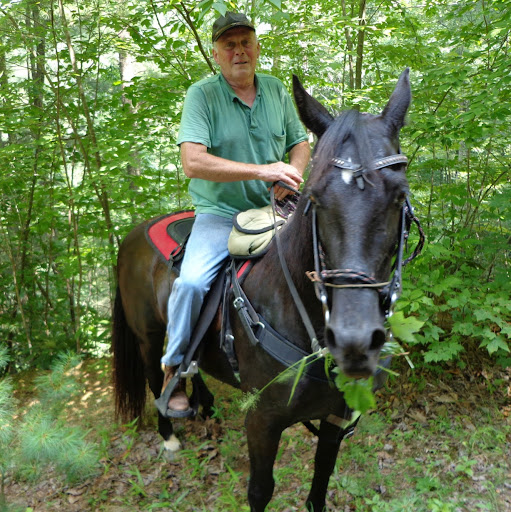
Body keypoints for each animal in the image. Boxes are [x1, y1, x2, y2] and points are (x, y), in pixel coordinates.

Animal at [112, 69, 412, 512]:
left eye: (400, 196)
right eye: (315, 198)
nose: (354, 342)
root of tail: (131, 235)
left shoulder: (336, 419)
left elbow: (319, 486)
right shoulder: (262, 420)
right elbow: (260, 490)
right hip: (148, 335)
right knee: (157, 374)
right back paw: (170, 432)